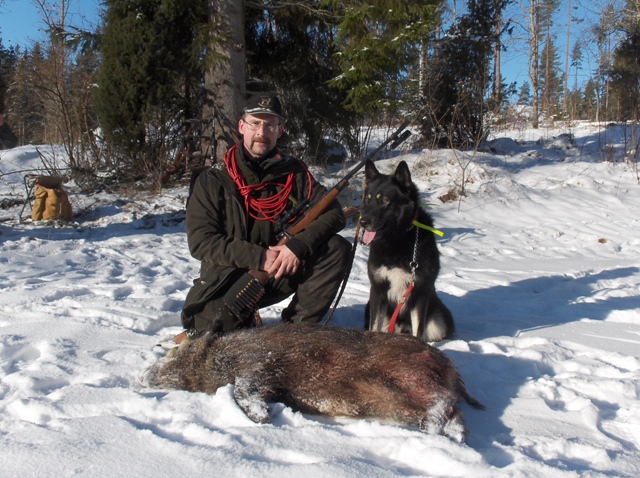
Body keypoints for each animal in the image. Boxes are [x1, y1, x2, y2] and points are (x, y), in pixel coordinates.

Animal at [146, 324, 484, 442]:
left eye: (174, 354)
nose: (143, 375)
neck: (219, 362)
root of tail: (449, 366)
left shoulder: (259, 364)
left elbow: (243, 390)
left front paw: (262, 418)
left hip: (409, 376)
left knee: (445, 401)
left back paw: (436, 430)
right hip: (402, 401)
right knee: (455, 412)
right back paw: (452, 436)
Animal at [360, 159, 456, 342]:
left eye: (384, 200)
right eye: (367, 199)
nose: (362, 222)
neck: (397, 239)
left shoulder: (419, 292)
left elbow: (418, 331)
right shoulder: (378, 290)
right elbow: (374, 327)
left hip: (438, 322)